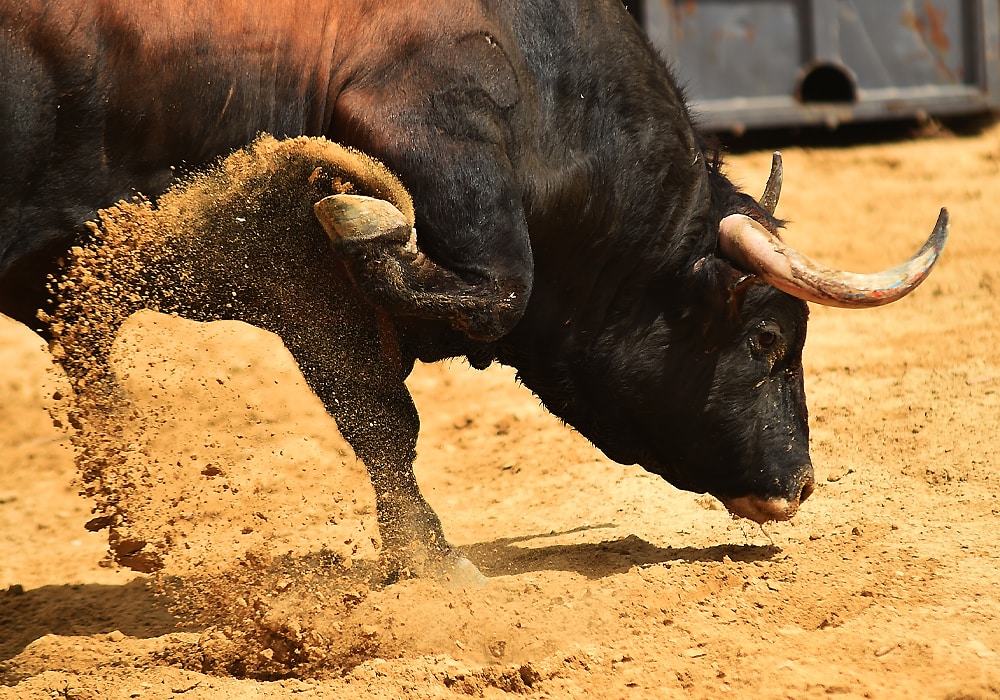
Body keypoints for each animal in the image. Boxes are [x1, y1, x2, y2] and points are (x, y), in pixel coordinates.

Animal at [1, 0, 946, 579]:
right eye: (767, 339)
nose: (800, 485)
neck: (539, 73)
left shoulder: (305, 291)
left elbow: (378, 415)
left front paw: (425, 558)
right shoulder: (425, 132)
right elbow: (495, 291)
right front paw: (364, 212)